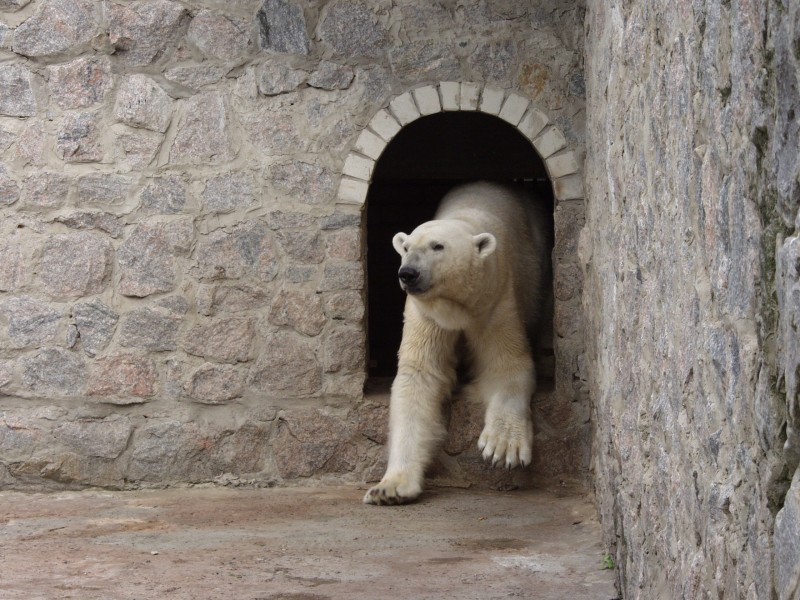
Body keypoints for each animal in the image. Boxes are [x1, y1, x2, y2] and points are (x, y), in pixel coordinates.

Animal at [366, 180, 552, 504]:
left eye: (437, 246)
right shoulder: (426, 315)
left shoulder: (495, 299)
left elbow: (506, 364)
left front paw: (502, 447)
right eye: (406, 247)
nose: (408, 273)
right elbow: (420, 376)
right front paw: (389, 487)